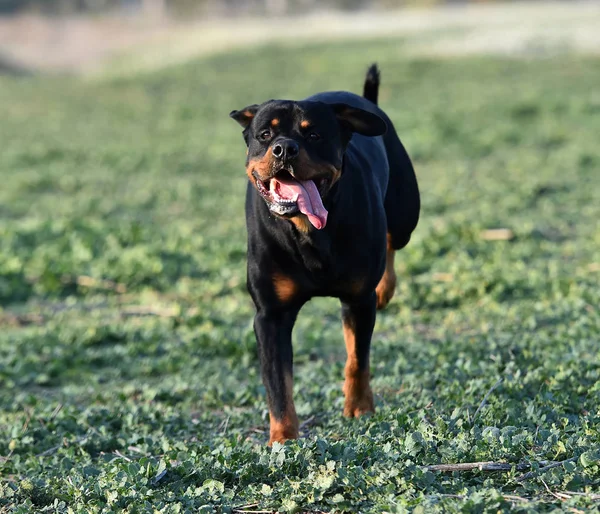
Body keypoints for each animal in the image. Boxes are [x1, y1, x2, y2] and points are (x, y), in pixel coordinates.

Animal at [231, 63, 422, 440]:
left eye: (315, 135)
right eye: (264, 134)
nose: (284, 148)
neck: (307, 230)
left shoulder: (358, 300)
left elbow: (357, 359)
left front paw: (359, 408)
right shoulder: (271, 315)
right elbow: (278, 385)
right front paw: (283, 439)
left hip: (406, 212)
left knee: (393, 240)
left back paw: (385, 287)